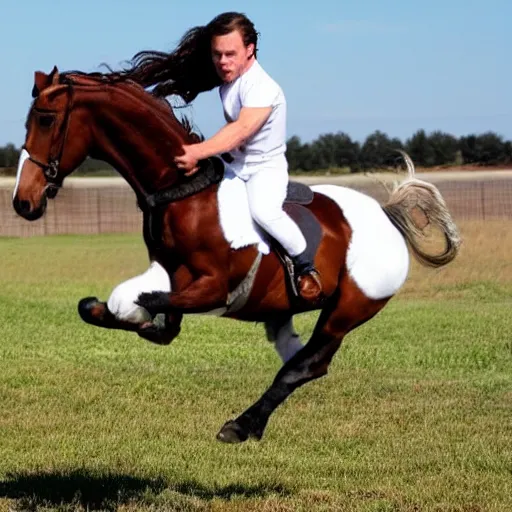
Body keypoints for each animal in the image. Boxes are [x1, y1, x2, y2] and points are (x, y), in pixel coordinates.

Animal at [12, 67, 462, 444]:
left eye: (46, 119)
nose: (23, 202)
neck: (184, 193)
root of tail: (387, 217)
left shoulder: (214, 289)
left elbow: (141, 303)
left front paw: (136, 316)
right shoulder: (169, 274)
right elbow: (119, 311)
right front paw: (127, 318)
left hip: (348, 308)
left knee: (306, 366)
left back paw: (242, 425)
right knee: (301, 357)